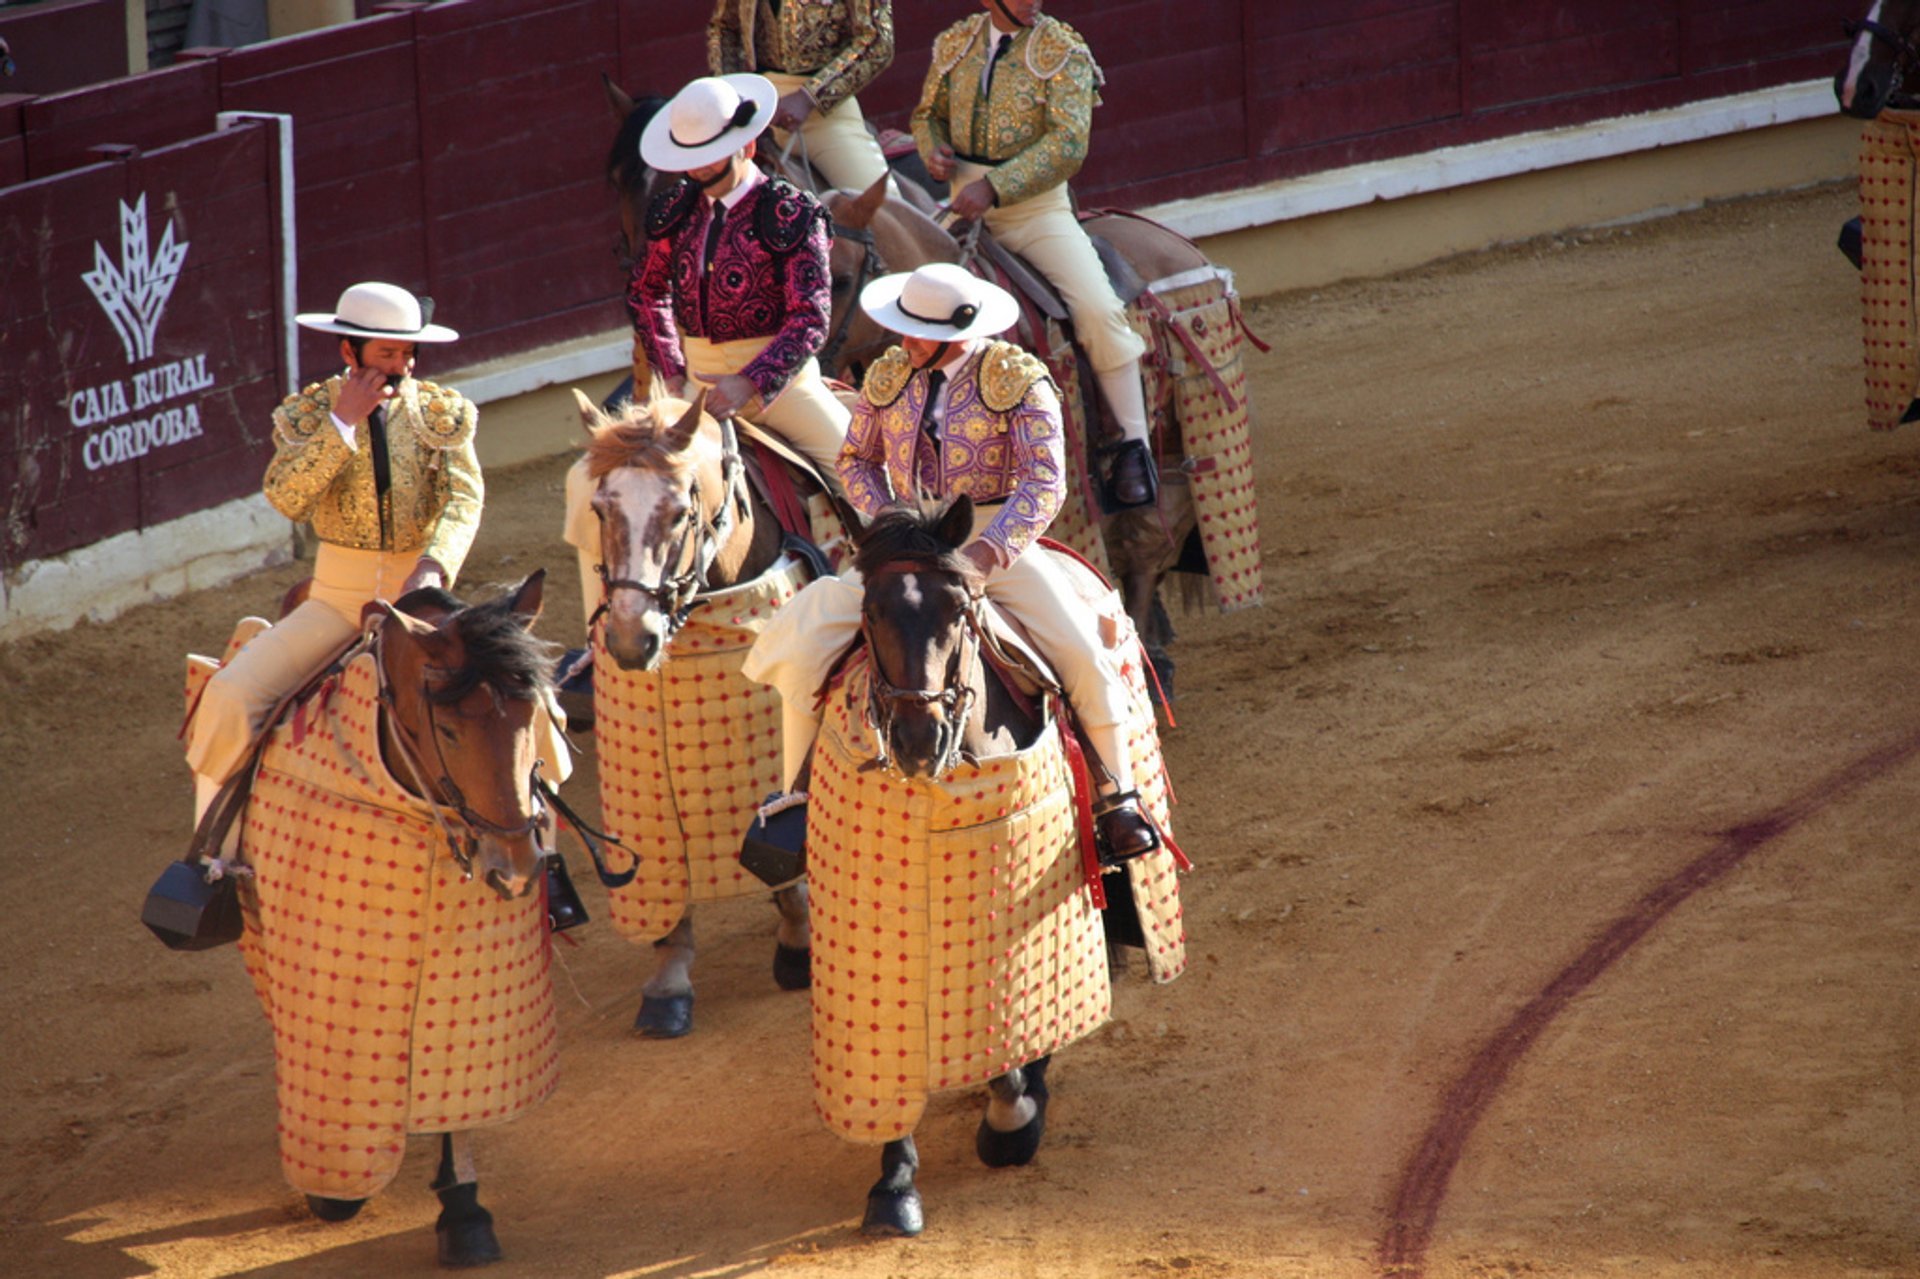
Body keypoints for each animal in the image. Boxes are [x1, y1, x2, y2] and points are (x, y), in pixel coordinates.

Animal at [183, 568, 560, 1267]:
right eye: (450, 729)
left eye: (536, 717)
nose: (516, 868)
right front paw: (331, 1194)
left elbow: (451, 1104)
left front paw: (463, 1210)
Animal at [560, 387, 817, 1037]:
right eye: (599, 510)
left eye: (678, 513)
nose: (632, 642)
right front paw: (668, 982)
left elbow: (780, 848)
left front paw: (798, 947)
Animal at [802, 491, 1190, 1229]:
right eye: (870, 610)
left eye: (959, 609)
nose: (917, 739)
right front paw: (893, 1183)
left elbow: (1008, 1029)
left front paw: (1012, 1118)